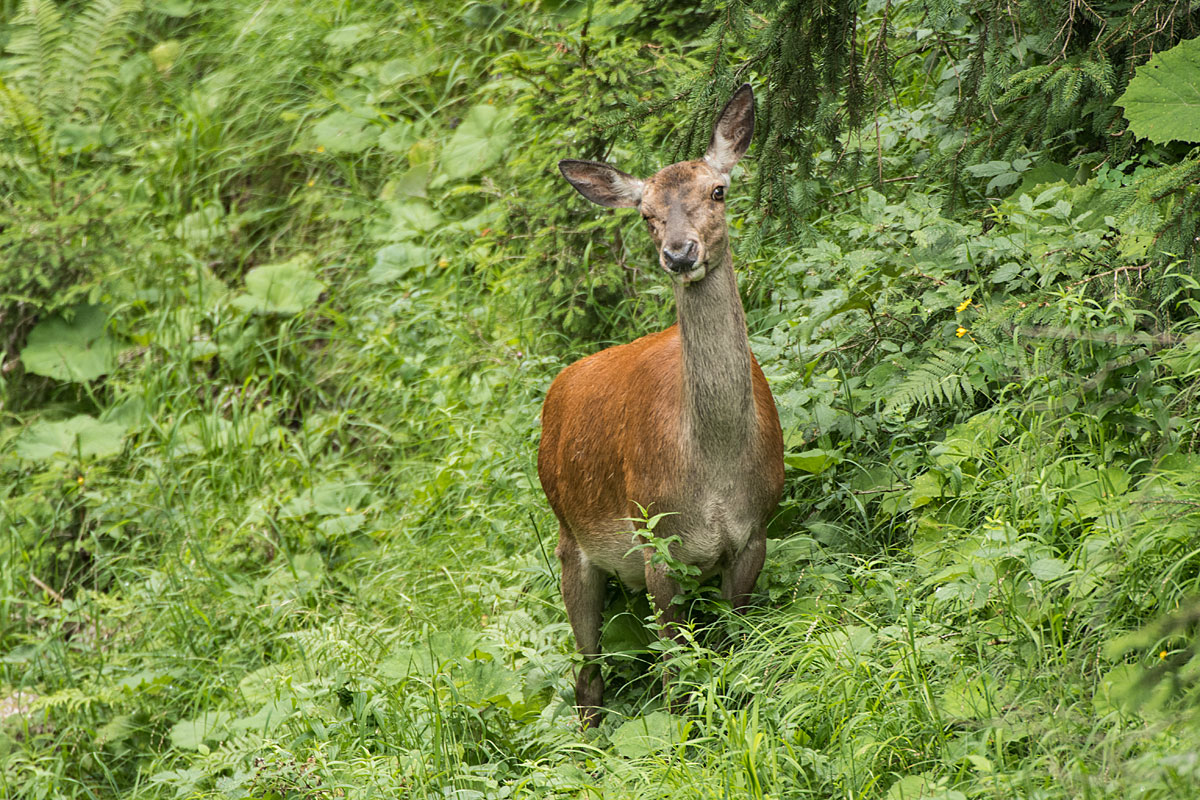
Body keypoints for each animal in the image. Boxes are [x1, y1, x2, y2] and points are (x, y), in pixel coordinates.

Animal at [537, 86, 782, 724]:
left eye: (718, 190)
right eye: (645, 213)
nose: (679, 253)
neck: (714, 472)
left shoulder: (754, 533)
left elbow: (737, 645)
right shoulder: (657, 545)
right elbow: (676, 670)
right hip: (569, 538)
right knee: (587, 672)